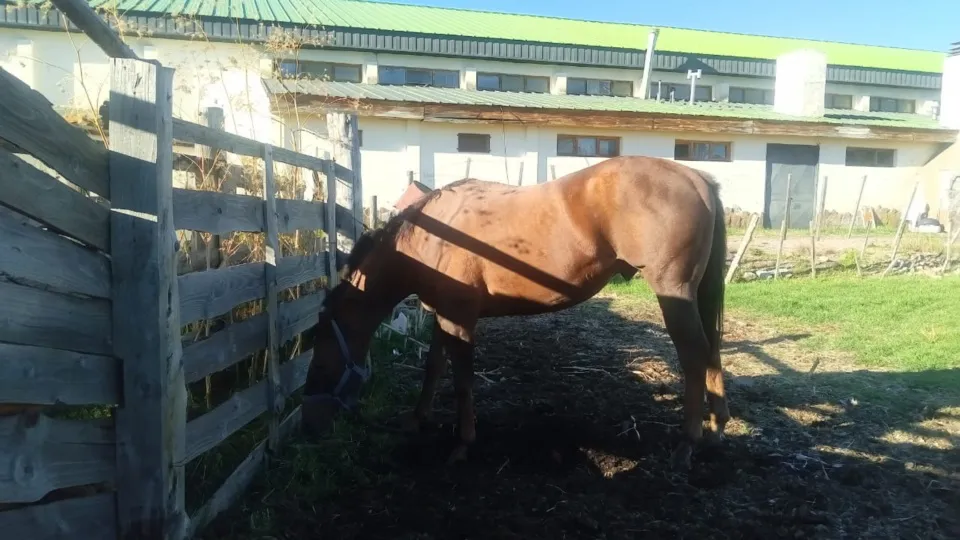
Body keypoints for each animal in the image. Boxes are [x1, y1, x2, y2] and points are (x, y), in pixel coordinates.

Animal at [301, 155, 729, 470]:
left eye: (320, 360)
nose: (312, 424)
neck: (434, 235)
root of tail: (697, 179)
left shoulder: (460, 320)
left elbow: (462, 381)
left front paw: (462, 444)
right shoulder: (444, 315)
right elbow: (434, 368)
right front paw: (417, 419)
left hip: (673, 292)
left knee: (694, 356)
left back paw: (687, 444)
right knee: (710, 351)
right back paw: (715, 427)